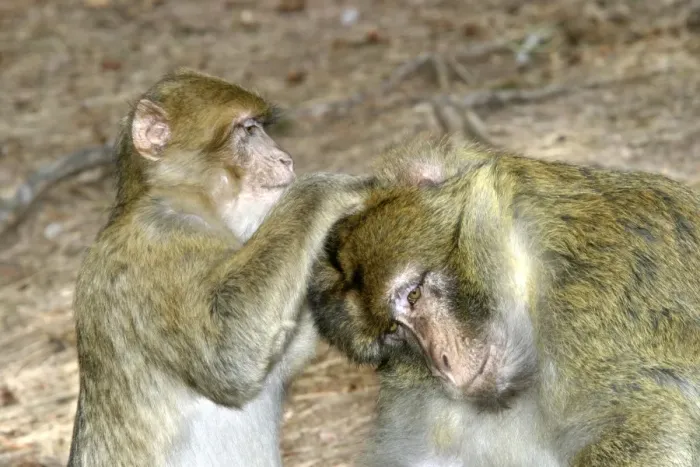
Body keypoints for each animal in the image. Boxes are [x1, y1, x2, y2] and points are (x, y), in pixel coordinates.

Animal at [66, 68, 369, 467]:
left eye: (260, 127)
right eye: (248, 130)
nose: (285, 159)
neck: (189, 204)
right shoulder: (157, 248)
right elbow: (228, 356)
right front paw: (324, 189)